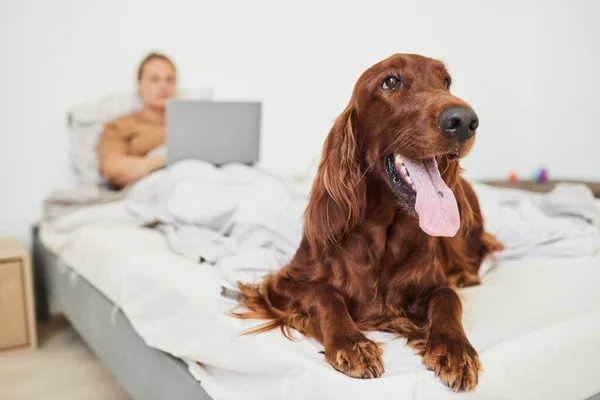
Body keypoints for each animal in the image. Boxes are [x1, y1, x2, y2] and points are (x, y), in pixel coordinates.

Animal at [234, 53, 502, 390]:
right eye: (391, 81)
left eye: (446, 82)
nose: (464, 121)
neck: (384, 235)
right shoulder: (281, 282)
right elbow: (325, 293)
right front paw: (352, 343)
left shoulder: (433, 282)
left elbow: (447, 296)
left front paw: (455, 349)